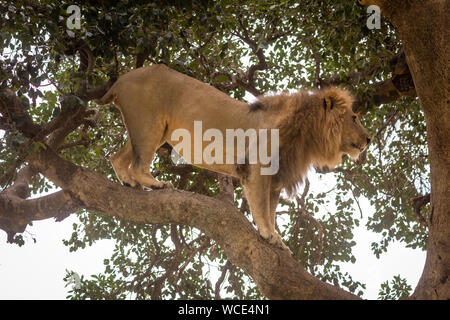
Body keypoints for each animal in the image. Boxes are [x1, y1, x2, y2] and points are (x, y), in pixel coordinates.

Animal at [94, 63, 370, 252]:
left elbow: (271, 210)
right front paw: (269, 235)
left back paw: (129, 182)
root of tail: (121, 79)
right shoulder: (259, 169)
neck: (307, 133)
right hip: (149, 123)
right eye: (354, 118)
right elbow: (262, 209)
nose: (369, 140)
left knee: (117, 157)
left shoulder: (276, 178)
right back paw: (156, 183)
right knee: (139, 163)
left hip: (150, 129)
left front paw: (278, 240)